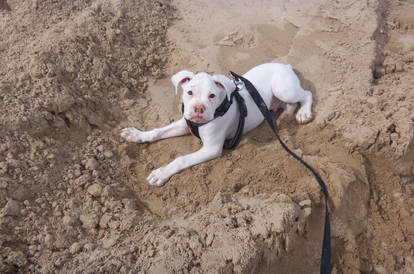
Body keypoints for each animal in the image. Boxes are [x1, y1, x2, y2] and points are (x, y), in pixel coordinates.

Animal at [121, 63, 312, 185]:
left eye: (212, 95)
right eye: (189, 92)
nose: (198, 109)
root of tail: (285, 65)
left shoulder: (211, 148)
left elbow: (181, 159)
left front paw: (161, 173)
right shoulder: (185, 123)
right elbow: (157, 132)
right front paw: (136, 134)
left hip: (283, 89)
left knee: (306, 94)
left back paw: (304, 113)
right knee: (289, 104)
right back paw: (283, 118)